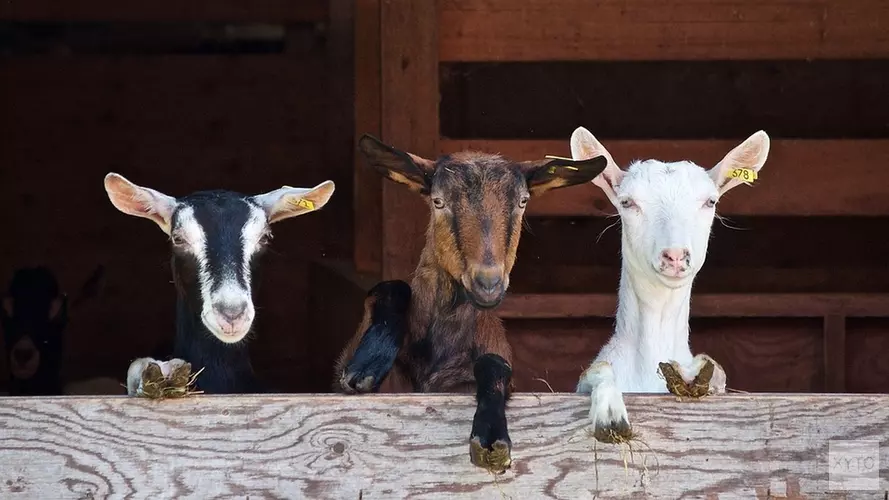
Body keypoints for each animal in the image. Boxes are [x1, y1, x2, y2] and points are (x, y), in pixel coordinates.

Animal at [336, 135, 608, 470]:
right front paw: (367, 365)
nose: (487, 283)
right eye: (438, 201)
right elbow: (391, 288)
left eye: (522, 202)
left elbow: (494, 364)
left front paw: (491, 436)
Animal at [572, 127, 768, 440]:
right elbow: (598, 369)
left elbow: (716, 370)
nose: (675, 255)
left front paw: (694, 373)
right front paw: (610, 415)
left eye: (710, 202)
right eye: (627, 202)